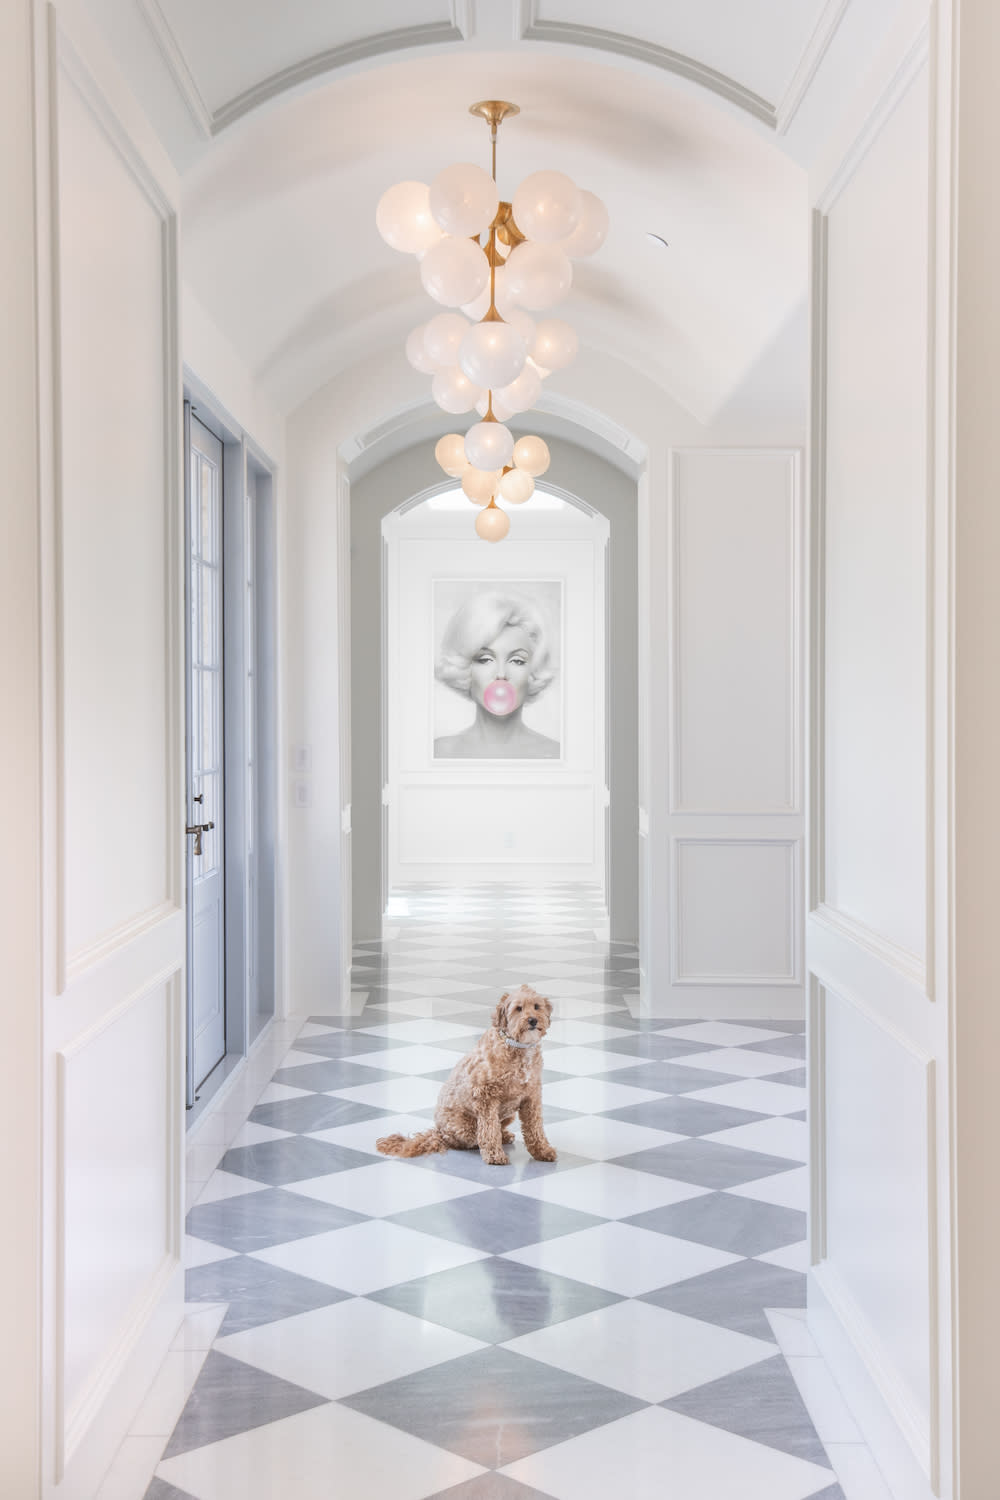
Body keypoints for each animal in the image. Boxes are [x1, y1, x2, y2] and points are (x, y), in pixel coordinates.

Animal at [377, 984, 560, 1170]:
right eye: (518, 1008)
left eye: (537, 1006)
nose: (533, 1020)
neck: (516, 1046)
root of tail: (438, 1132)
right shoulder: (485, 1096)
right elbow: (489, 1130)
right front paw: (494, 1155)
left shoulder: (531, 1096)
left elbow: (535, 1128)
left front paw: (543, 1151)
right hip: (466, 1126)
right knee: (471, 1139)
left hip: (508, 1115)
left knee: (497, 1128)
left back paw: (505, 1135)